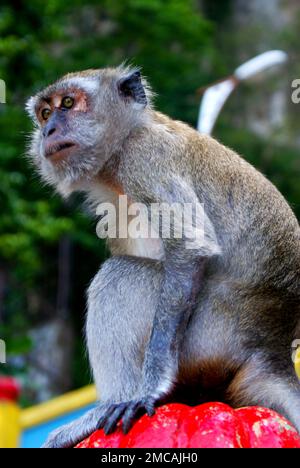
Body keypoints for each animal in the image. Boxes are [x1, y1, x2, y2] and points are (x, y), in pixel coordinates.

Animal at [26, 64, 300, 448]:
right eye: (45, 112)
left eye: (68, 103)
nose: (48, 131)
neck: (124, 141)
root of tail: (272, 346)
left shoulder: (145, 158)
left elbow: (189, 247)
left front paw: (150, 388)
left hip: (211, 337)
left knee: (119, 275)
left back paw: (109, 404)